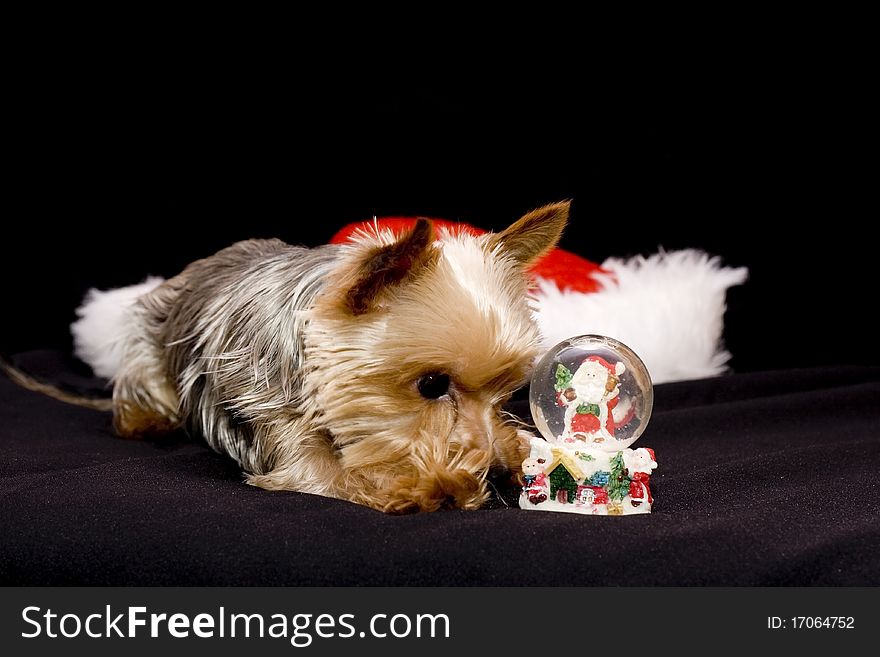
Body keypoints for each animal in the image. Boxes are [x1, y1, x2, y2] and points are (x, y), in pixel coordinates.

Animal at [69, 202, 568, 510]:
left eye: (509, 390)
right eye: (432, 385)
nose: (502, 473)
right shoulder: (272, 414)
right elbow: (328, 473)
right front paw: (432, 485)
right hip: (146, 345)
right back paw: (148, 419)